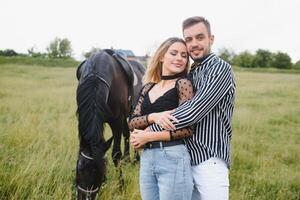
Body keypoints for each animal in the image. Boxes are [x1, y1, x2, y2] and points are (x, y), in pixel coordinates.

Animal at [75, 49, 145, 199]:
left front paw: (121, 186)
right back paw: (127, 159)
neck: (95, 76)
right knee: (127, 133)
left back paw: (136, 160)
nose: (86, 197)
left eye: (99, 173)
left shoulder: (116, 120)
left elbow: (115, 154)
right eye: (79, 169)